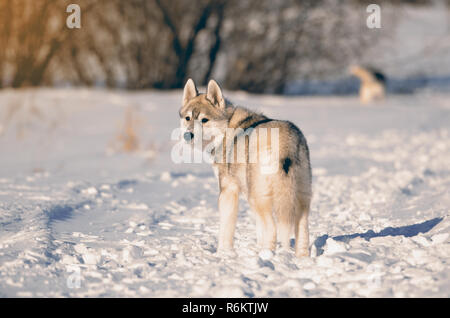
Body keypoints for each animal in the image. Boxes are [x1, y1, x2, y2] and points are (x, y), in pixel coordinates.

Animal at [178, 79, 312, 258]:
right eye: (188, 118)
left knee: (273, 228)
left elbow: (226, 229)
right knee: (301, 229)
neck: (226, 128)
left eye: (204, 120)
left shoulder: (228, 191)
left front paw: (223, 253)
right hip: (299, 197)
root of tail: (285, 140)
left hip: (260, 196)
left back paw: (266, 256)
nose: (188, 135)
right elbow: (259, 229)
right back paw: (301, 259)